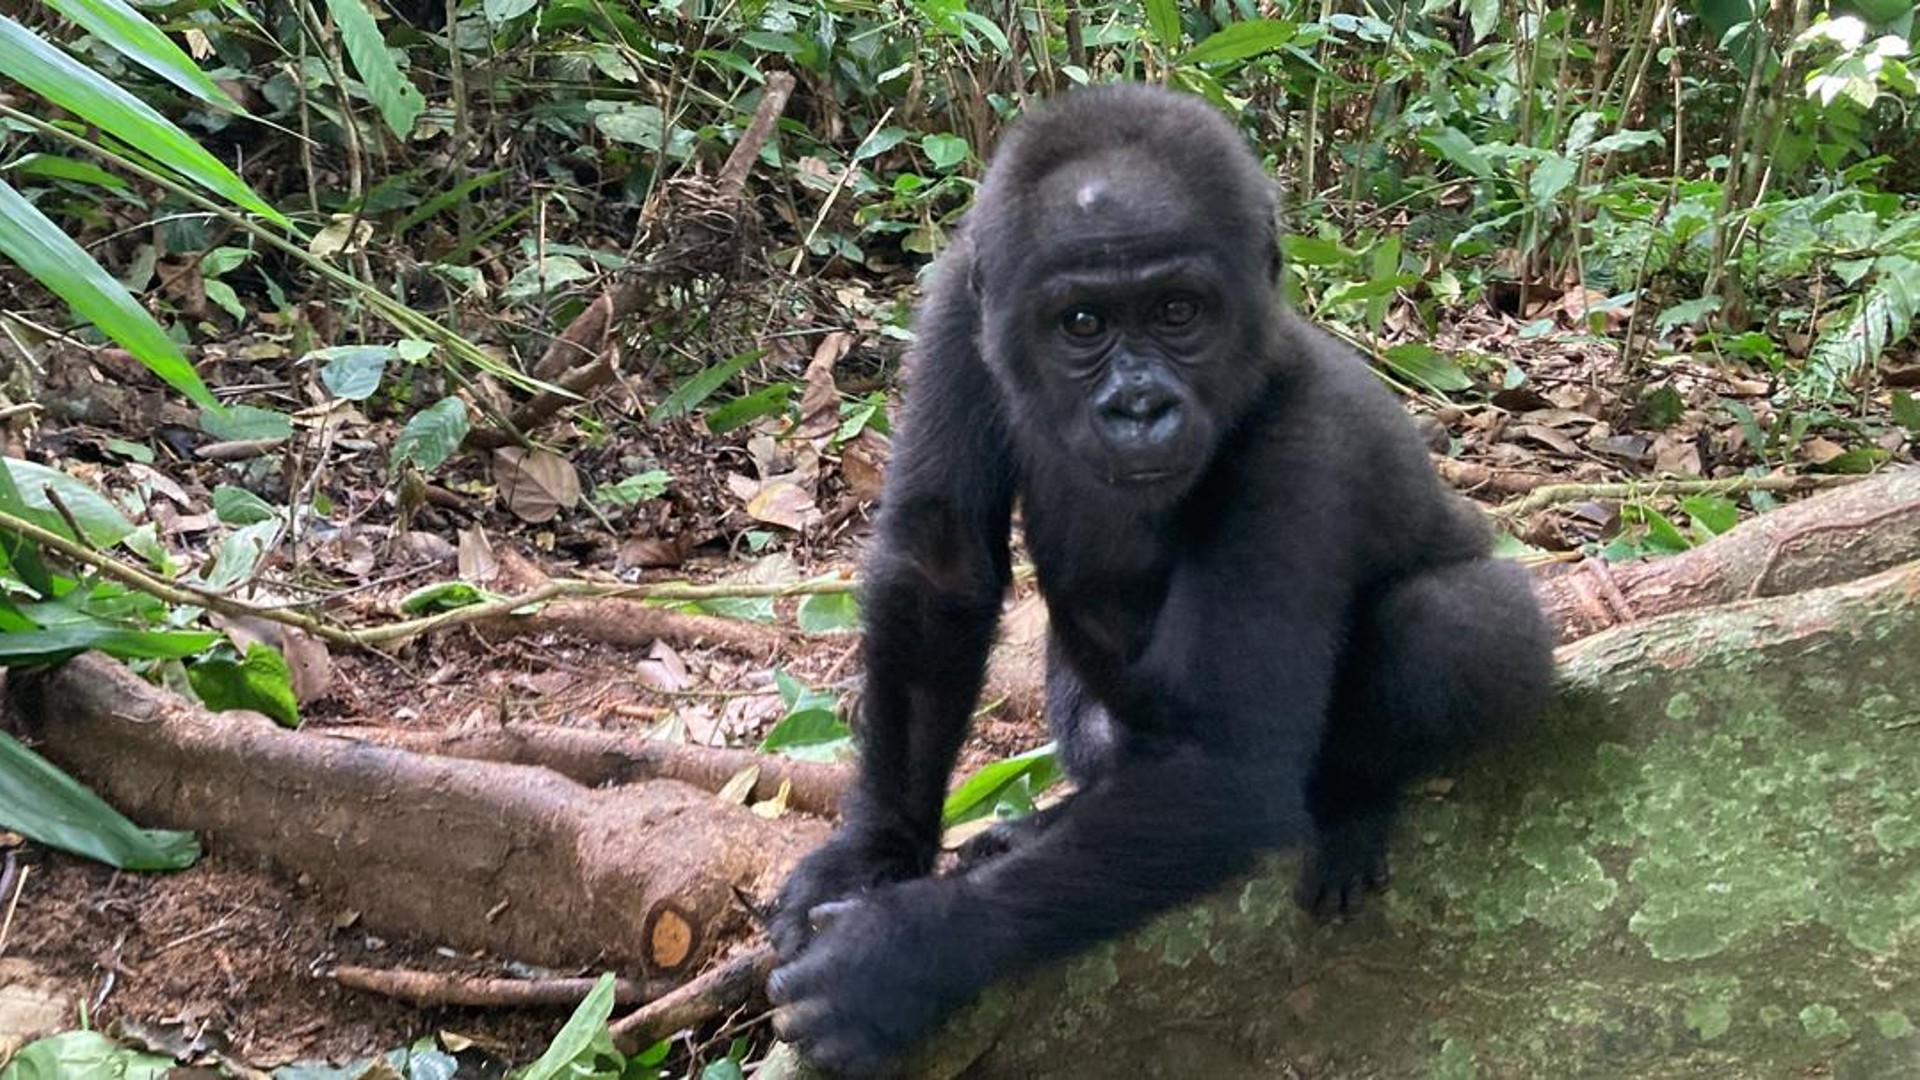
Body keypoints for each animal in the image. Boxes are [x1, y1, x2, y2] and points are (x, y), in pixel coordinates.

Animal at [764, 82, 1559, 1068]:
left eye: (1179, 313)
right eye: (1082, 323)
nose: (1140, 407)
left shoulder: (1308, 439)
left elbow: (1226, 765)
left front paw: (905, 955)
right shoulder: (958, 305)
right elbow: (937, 570)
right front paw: (875, 851)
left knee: (1457, 624)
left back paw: (1350, 801)